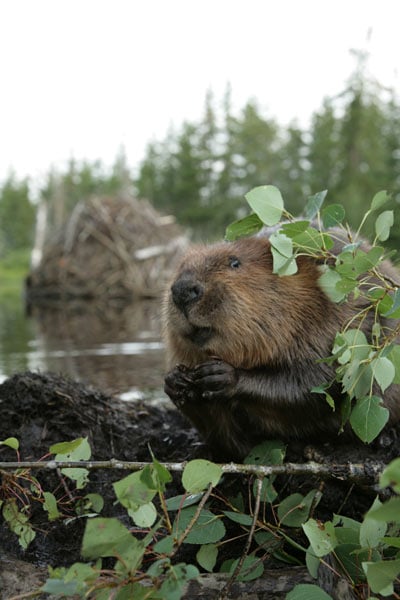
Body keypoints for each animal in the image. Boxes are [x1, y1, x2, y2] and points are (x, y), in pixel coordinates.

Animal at [162, 231, 400, 460]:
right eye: (181, 267)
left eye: (235, 262)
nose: (183, 290)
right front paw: (177, 382)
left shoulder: (336, 322)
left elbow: (317, 382)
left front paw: (221, 375)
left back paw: (385, 440)